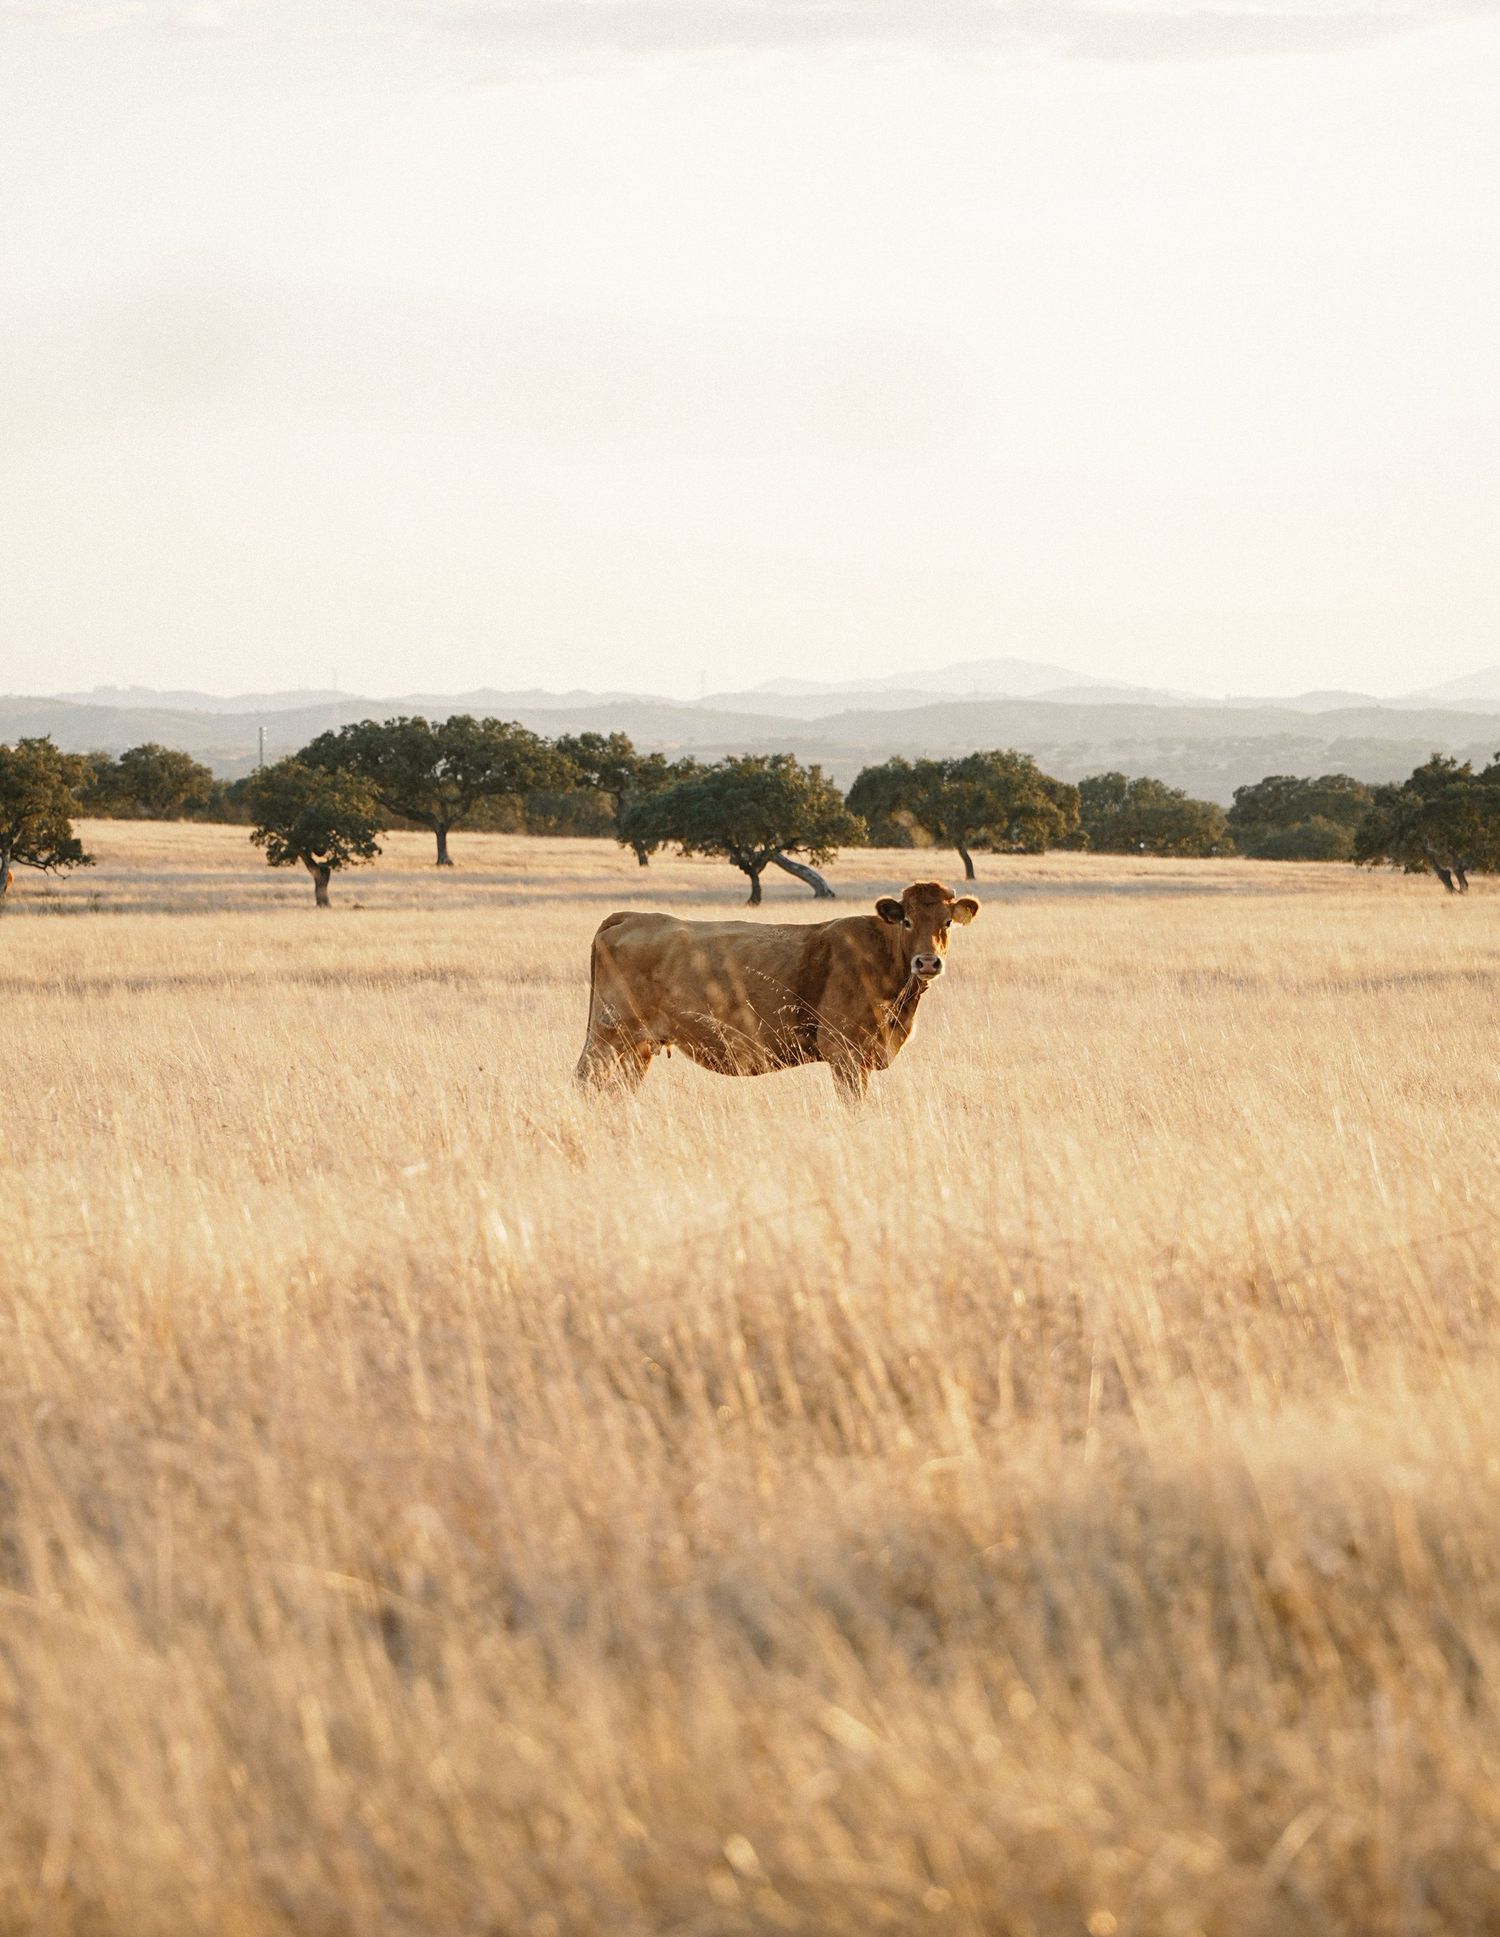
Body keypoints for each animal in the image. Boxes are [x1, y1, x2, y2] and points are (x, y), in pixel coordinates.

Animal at [575, 879, 979, 1103]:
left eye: (947, 922)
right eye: (907, 921)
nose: (927, 962)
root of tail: (631, 916)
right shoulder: (844, 1052)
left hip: (639, 1046)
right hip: (606, 1036)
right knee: (586, 1082)